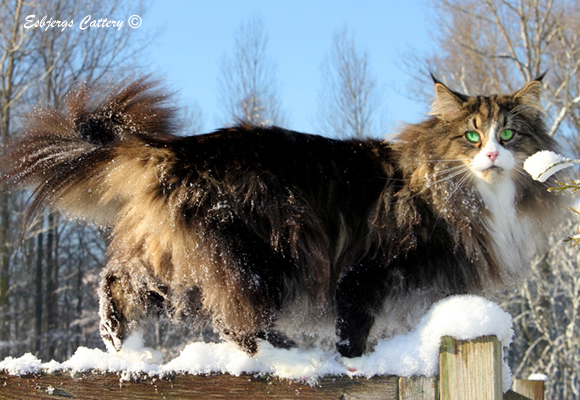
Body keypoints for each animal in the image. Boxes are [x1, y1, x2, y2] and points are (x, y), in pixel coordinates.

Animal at [0, 74, 562, 359]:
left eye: (508, 135)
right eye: (471, 136)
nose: (492, 154)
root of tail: (177, 148)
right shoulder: (365, 272)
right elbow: (352, 331)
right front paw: (351, 364)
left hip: (187, 261)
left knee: (123, 281)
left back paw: (116, 336)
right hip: (254, 259)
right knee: (231, 320)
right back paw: (283, 353)